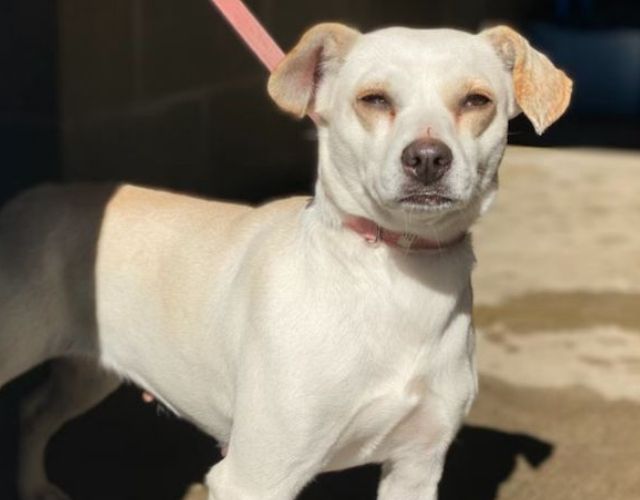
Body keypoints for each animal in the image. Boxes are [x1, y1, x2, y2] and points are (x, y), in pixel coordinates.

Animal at [0, 23, 571, 500]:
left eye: (476, 100)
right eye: (374, 99)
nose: (427, 158)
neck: (393, 279)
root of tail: (26, 200)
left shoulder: (416, 467)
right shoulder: (254, 476)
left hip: (88, 371)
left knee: (30, 414)